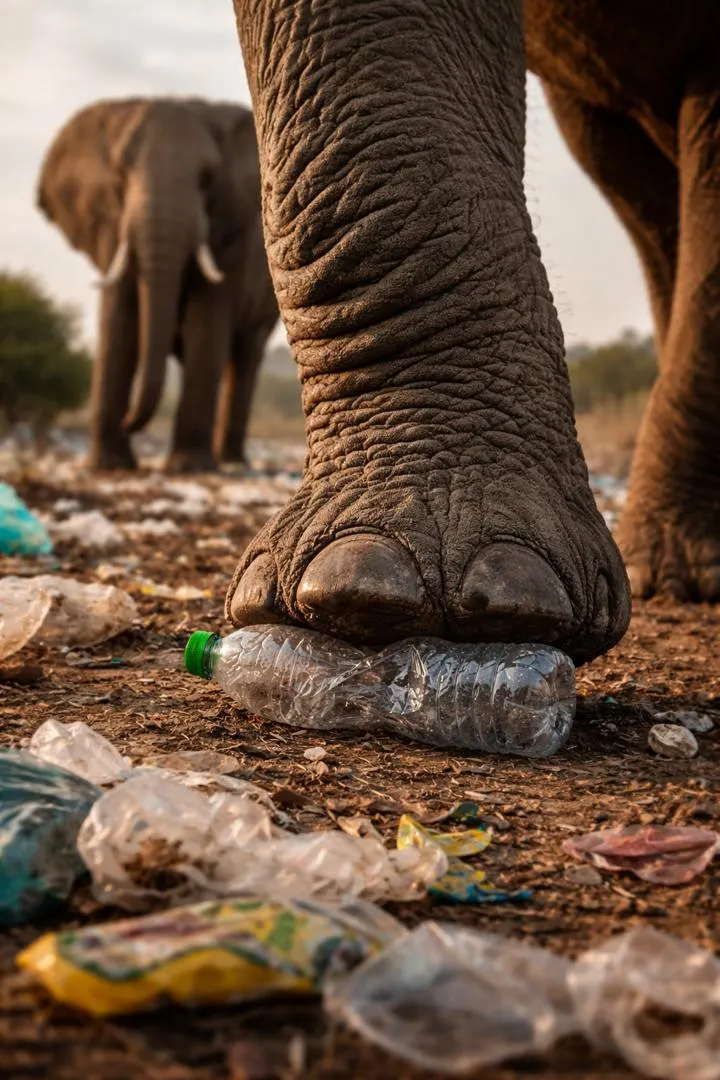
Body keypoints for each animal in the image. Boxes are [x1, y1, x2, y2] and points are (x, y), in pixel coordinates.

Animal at [37, 97, 278, 472]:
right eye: (120, 177)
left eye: (206, 179)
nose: (129, 422)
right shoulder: (111, 226)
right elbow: (119, 324)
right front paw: (109, 466)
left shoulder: (228, 236)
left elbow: (205, 324)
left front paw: (187, 468)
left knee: (246, 356)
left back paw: (232, 463)